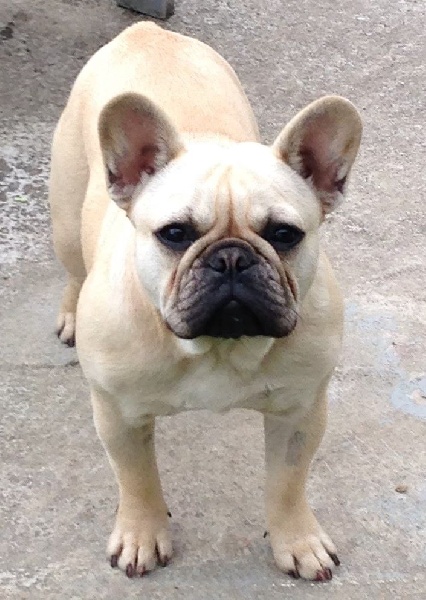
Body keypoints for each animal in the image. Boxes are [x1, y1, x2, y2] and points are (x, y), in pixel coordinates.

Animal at [48, 22, 362, 581]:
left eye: (284, 234)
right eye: (175, 234)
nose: (231, 259)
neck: (218, 347)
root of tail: (147, 30)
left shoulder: (301, 412)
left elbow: (288, 483)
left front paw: (297, 540)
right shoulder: (118, 416)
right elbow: (137, 480)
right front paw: (141, 534)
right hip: (64, 214)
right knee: (71, 267)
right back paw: (68, 311)